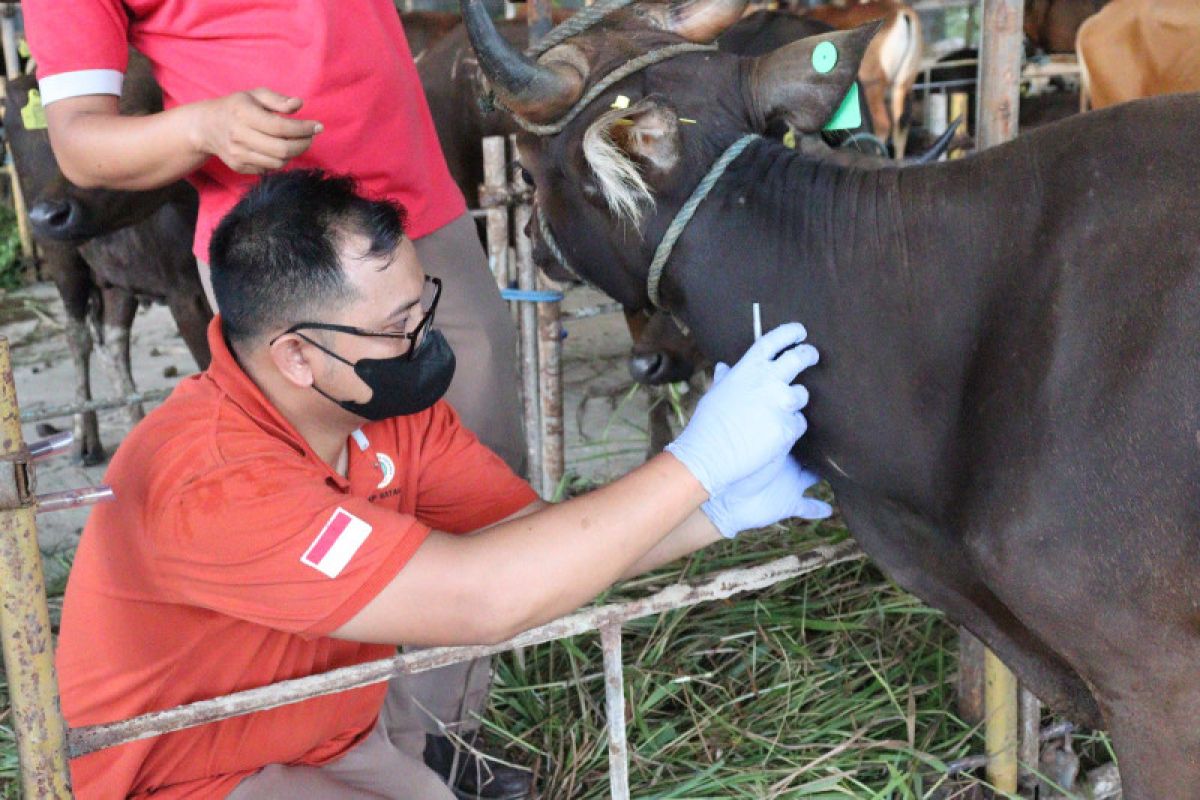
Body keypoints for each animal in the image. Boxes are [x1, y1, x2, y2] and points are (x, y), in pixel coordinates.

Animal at [5, 54, 211, 462]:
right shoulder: (185, 293)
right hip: (62, 258)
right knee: (78, 336)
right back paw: (84, 438)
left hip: (118, 276)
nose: (46, 214)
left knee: (114, 342)